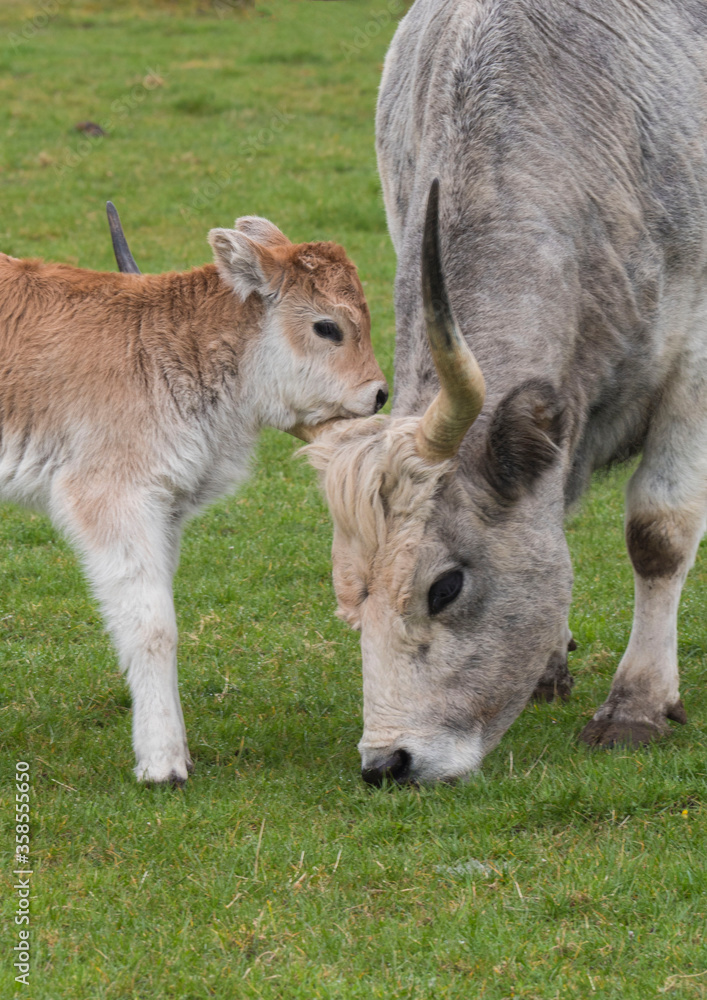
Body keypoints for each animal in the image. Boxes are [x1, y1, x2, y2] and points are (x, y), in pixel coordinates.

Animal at [0, 213, 387, 784]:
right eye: (327, 327)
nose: (379, 393)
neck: (170, 345)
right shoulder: (113, 497)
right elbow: (152, 625)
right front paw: (162, 764)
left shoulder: (166, 512)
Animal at [304, 0, 707, 785]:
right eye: (350, 596)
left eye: (445, 587)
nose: (386, 761)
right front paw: (550, 664)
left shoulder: (695, 361)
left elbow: (659, 531)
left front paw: (637, 703)